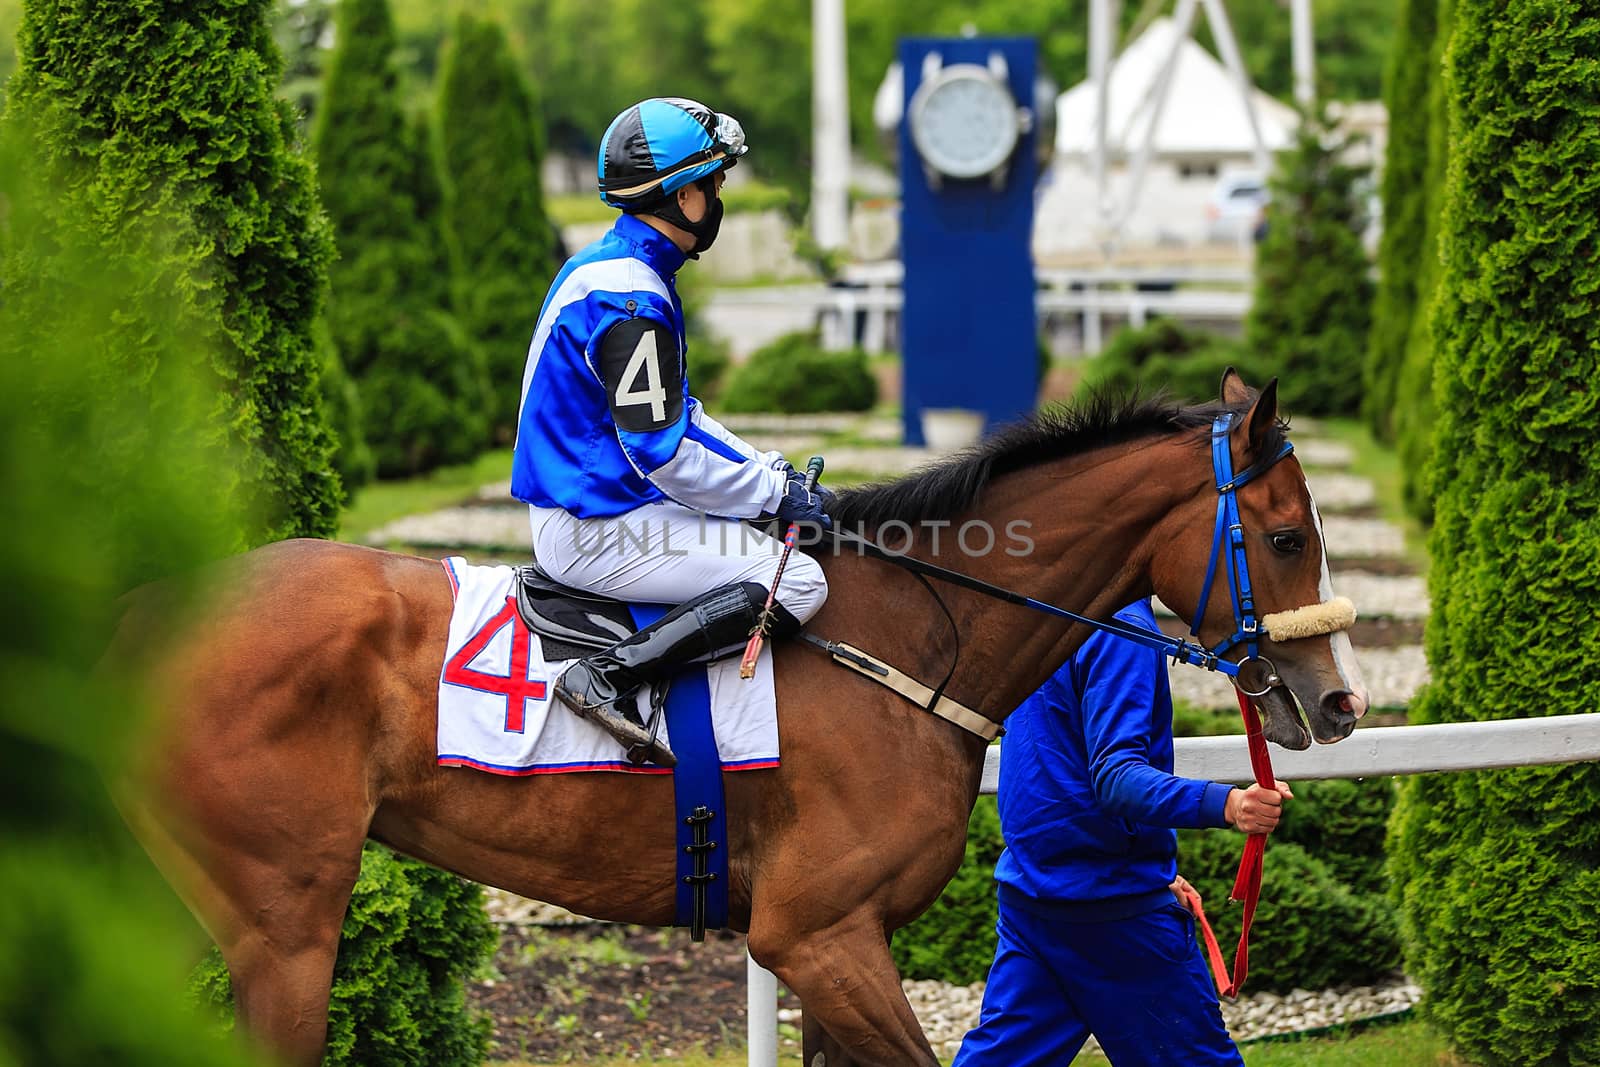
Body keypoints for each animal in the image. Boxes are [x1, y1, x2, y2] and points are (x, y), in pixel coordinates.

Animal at [109, 371, 1363, 1062]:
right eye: (1285, 534)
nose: (1340, 698)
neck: (911, 638)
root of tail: (160, 605)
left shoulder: (842, 940)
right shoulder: (815, 932)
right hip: (285, 927)